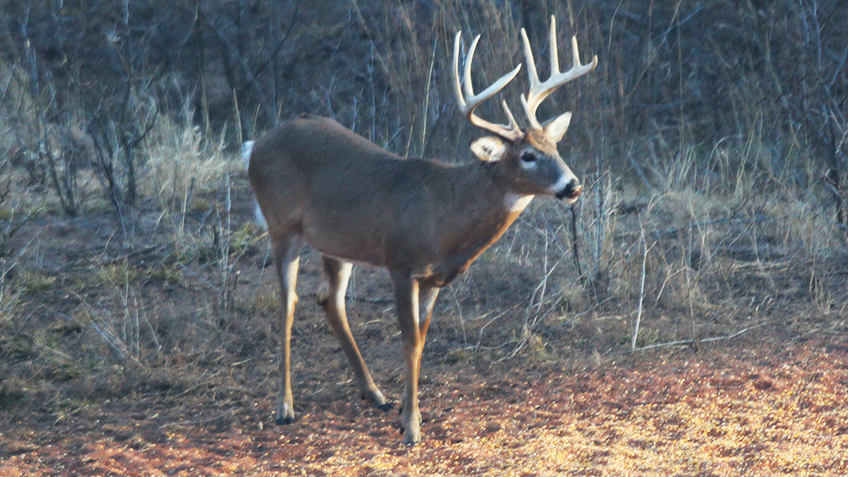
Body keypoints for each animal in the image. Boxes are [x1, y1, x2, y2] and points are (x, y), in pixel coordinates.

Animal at [245, 16, 600, 444]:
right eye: (528, 155)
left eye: (556, 147)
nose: (572, 186)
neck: (444, 217)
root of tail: (256, 144)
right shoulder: (400, 263)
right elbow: (410, 341)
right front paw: (411, 426)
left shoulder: (435, 278)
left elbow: (423, 338)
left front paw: (404, 410)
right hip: (282, 225)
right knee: (288, 304)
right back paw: (285, 407)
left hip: (336, 243)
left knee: (330, 299)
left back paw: (374, 393)